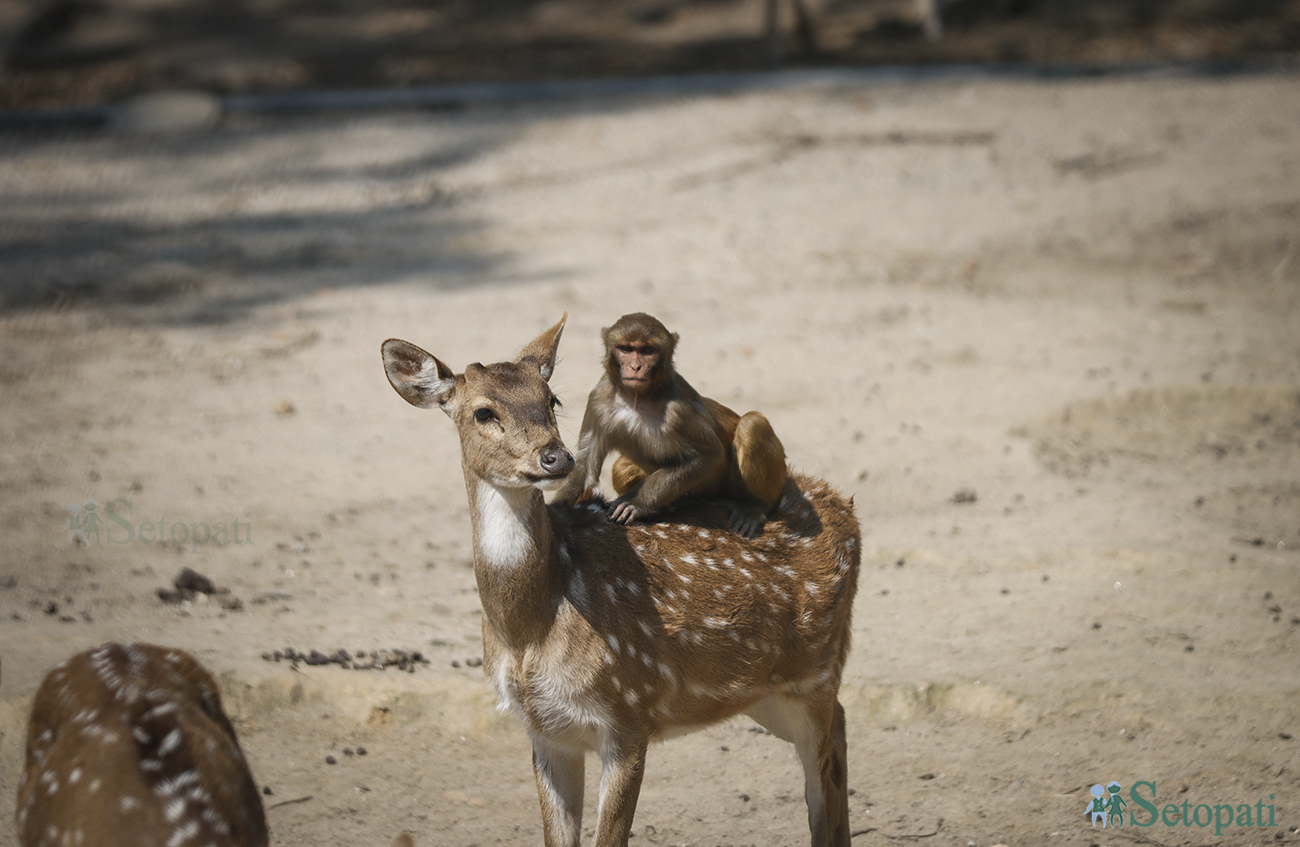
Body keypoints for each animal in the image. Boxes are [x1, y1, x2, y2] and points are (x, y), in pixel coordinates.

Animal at [553, 310, 785, 535]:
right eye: (626, 349)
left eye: (647, 350)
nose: (635, 367)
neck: (637, 398)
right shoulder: (598, 400)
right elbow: (585, 467)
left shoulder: (680, 413)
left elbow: (708, 456)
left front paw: (636, 503)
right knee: (620, 468)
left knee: (751, 424)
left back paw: (757, 505)